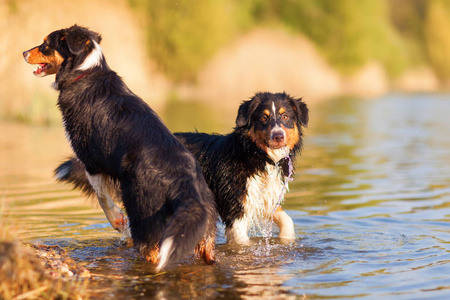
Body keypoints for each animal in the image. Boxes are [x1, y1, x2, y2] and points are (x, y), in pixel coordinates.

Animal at [22, 24, 216, 270]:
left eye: (46, 43)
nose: (23, 53)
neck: (85, 71)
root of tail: (185, 182)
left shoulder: (91, 161)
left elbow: (102, 198)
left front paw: (118, 222)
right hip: (204, 234)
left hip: (145, 216)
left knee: (151, 253)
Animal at [54, 91, 308, 244]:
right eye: (263, 118)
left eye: (286, 117)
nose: (278, 136)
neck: (256, 156)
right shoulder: (235, 208)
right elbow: (242, 243)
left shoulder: (264, 198)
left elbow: (287, 220)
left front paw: (286, 241)